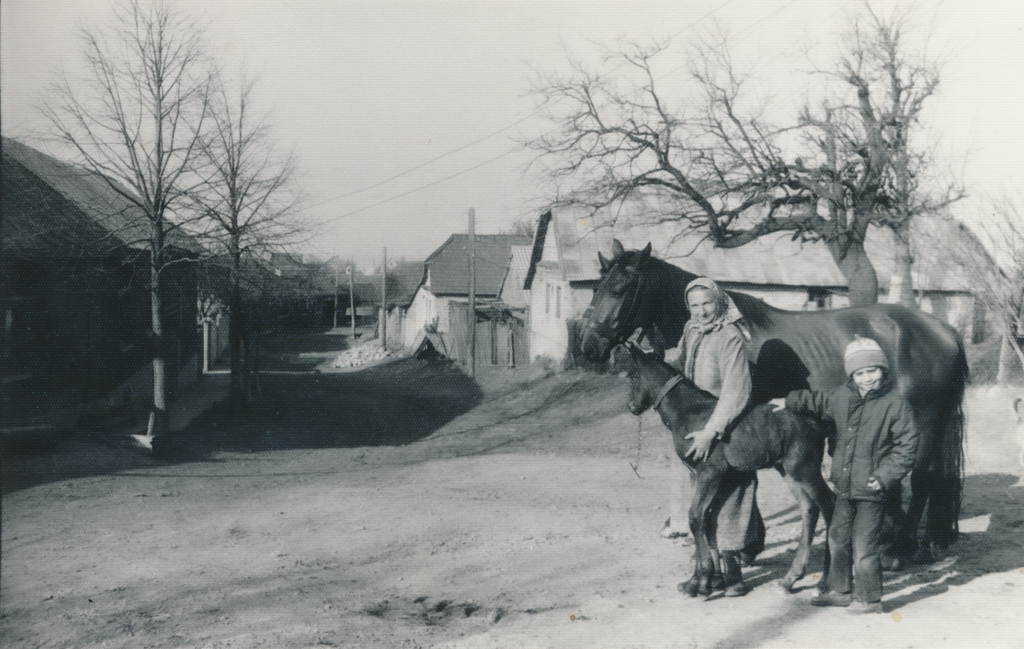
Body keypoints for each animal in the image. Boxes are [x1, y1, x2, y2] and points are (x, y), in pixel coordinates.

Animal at [581, 240, 967, 563]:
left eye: (621, 289)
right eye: (596, 288)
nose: (588, 347)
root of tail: (945, 331)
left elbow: (745, 479)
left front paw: (746, 547)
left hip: (924, 425)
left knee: (922, 480)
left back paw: (904, 549)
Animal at [622, 342, 834, 596]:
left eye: (633, 376)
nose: (631, 407)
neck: (689, 411)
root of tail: (817, 419)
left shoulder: (710, 473)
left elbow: (695, 517)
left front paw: (702, 580)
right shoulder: (700, 475)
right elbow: (708, 520)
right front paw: (699, 580)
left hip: (805, 469)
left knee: (829, 505)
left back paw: (825, 581)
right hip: (788, 471)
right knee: (809, 509)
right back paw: (790, 579)